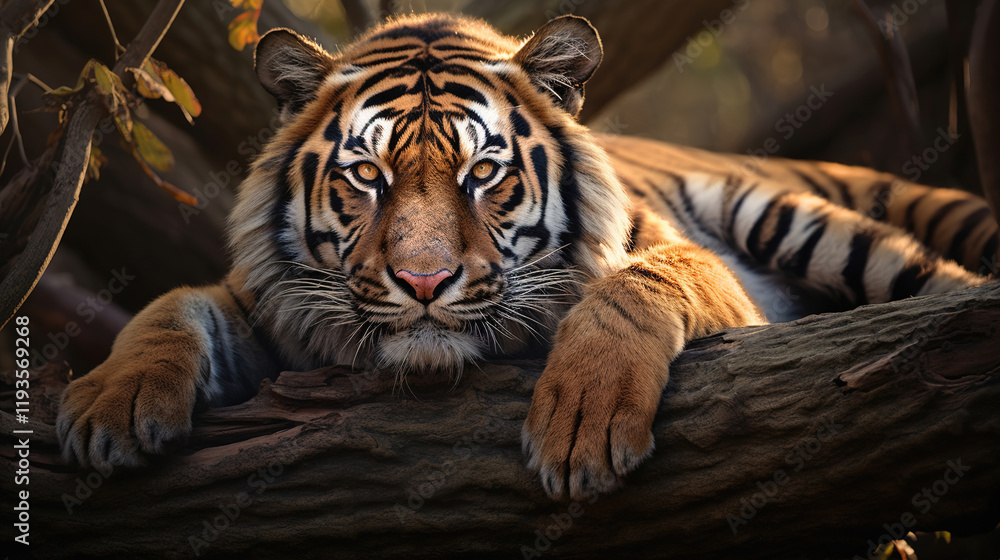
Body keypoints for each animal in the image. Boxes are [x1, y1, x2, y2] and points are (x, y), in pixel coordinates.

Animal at [56, 13, 996, 502]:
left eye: (483, 174)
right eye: (367, 176)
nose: (424, 282)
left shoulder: (708, 277)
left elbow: (642, 280)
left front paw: (583, 420)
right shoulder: (271, 307)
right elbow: (171, 304)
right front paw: (108, 404)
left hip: (809, 225)